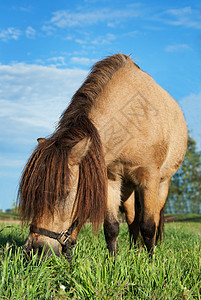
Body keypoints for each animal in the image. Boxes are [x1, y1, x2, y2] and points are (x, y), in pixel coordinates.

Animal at [18, 54, 188, 258]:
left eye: (65, 193)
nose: (34, 250)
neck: (133, 120)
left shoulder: (150, 178)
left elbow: (148, 225)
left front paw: (151, 261)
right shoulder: (110, 178)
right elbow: (112, 227)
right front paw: (113, 260)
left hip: (163, 183)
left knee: (152, 217)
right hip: (128, 187)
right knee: (132, 218)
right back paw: (134, 248)